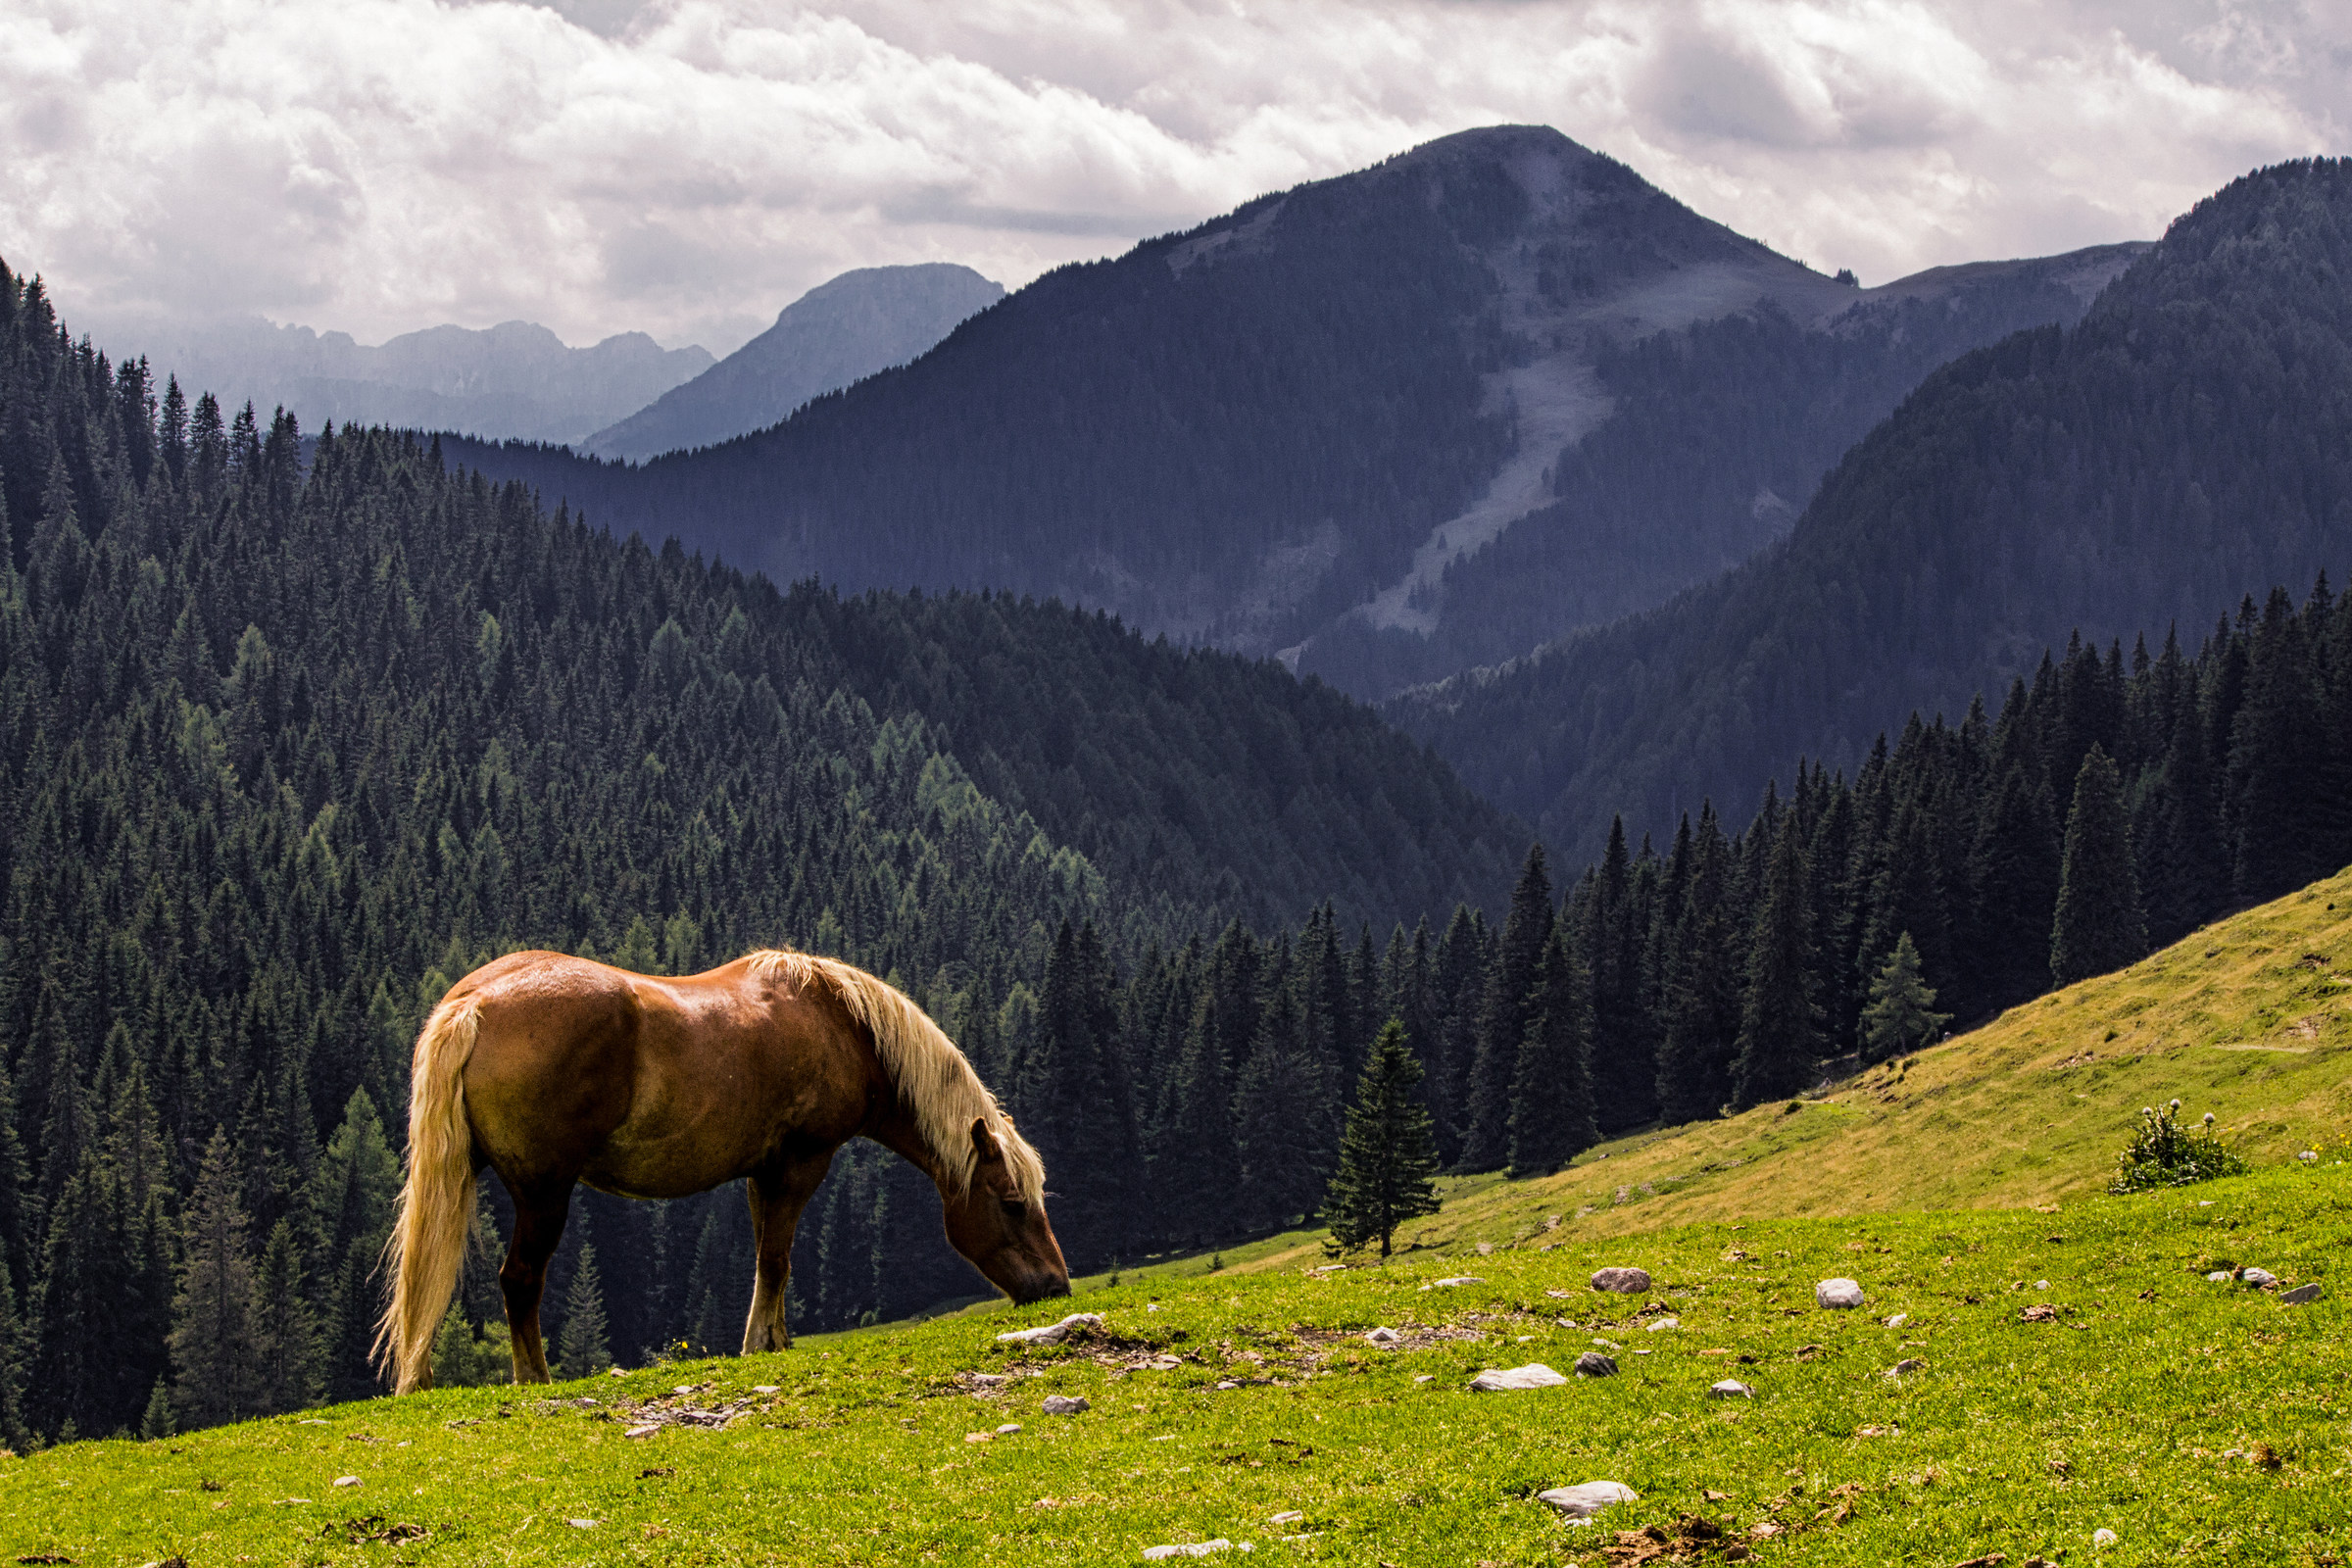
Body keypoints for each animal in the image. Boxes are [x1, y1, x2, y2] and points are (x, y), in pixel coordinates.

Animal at [373, 947, 1068, 1393]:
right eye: (1012, 1204)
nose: (1057, 1287)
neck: (842, 1024)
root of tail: (475, 1003)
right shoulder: (799, 1164)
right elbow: (776, 1258)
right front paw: (762, 1342)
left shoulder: (763, 1173)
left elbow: (769, 1258)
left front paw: (773, 1340)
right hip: (544, 1194)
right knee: (519, 1281)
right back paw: (534, 1380)